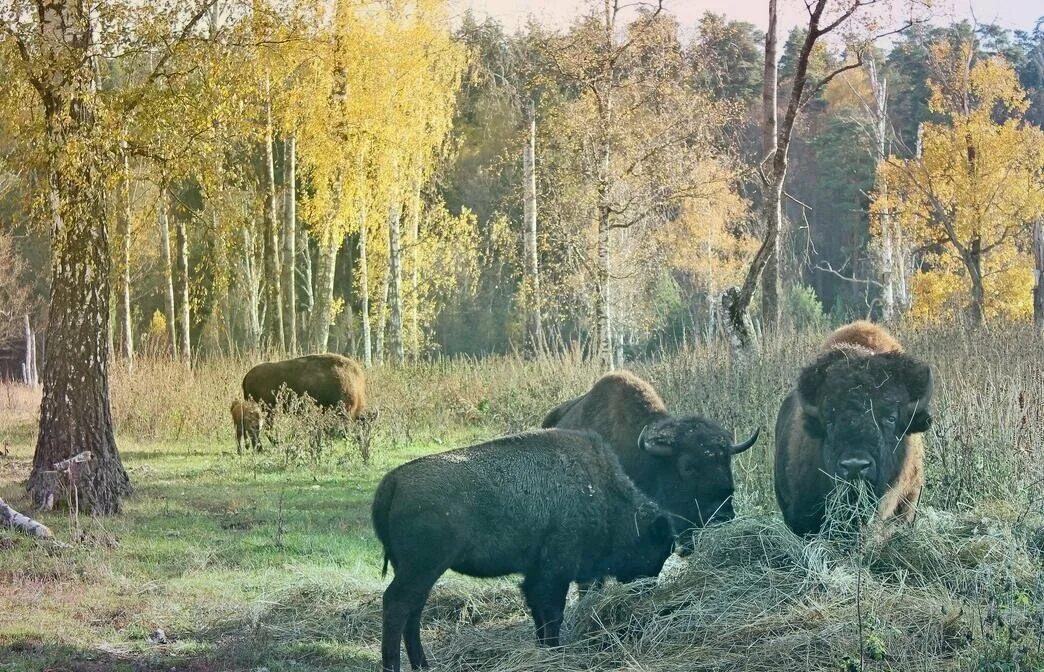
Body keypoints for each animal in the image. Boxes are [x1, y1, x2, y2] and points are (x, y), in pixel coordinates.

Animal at [371, 429, 672, 672]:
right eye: (657, 550)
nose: (647, 589)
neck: (603, 494)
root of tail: (393, 480)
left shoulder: (537, 574)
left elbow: (540, 613)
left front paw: (544, 649)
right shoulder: (555, 570)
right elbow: (552, 613)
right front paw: (555, 651)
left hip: (416, 571)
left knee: (413, 610)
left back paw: (422, 665)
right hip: (422, 568)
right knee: (397, 604)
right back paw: (394, 666)